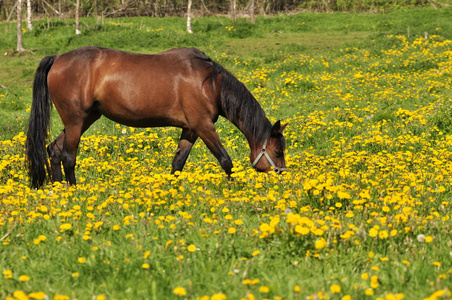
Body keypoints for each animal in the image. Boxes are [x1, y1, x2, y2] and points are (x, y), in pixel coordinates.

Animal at [24, 46, 286, 188]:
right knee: (68, 157)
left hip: (85, 120)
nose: (282, 175)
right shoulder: (203, 126)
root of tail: (58, 58)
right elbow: (225, 160)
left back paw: (60, 190)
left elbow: (178, 163)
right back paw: (74, 191)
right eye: (277, 151)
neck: (209, 82)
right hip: (76, 121)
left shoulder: (190, 129)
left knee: (54, 150)